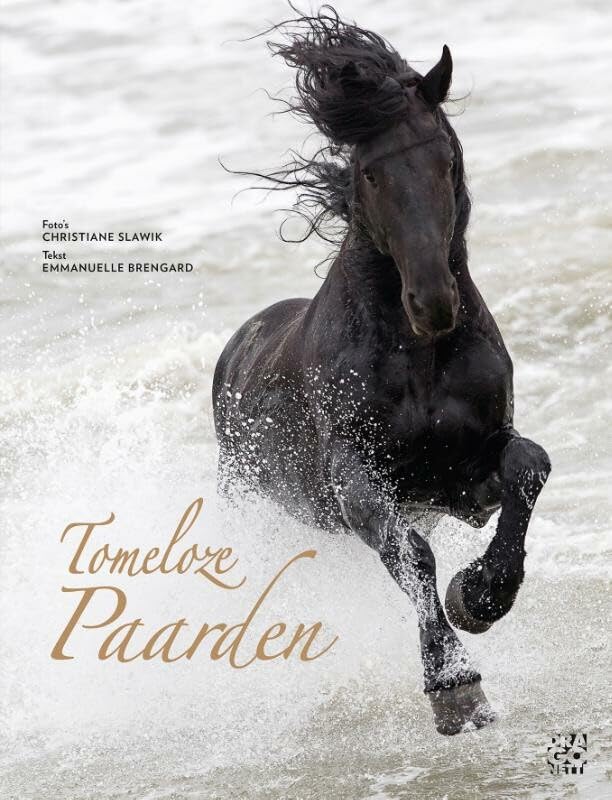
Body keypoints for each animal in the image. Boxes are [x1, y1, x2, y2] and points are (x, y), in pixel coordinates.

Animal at [212, 7, 551, 735]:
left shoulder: (464, 480)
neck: (418, 356)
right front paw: (455, 687)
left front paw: (480, 596)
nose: (433, 303)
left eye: (445, 158)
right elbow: (412, 554)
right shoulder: (357, 481)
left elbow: (528, 465)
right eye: (369, 173)